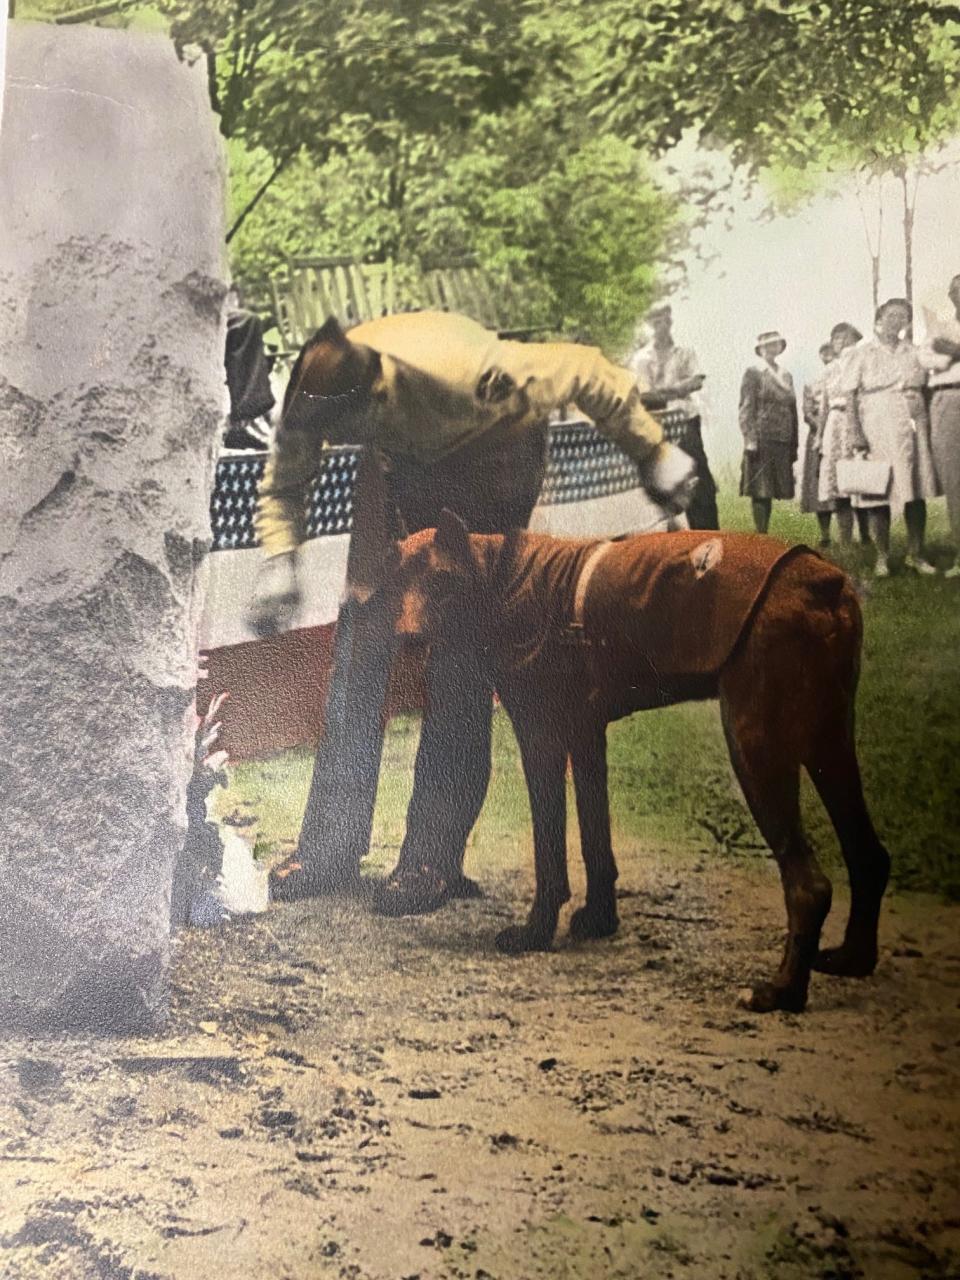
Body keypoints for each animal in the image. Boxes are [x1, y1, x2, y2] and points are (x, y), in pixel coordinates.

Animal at [399, 504, 896, 1013]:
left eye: (441, 581)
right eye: (395, 583)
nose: (408, 641)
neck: (504, 574)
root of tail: (822, 579)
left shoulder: (542, 738)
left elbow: (550, 852)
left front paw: (535, 931)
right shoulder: (586, 735)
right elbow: (595, 840)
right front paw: (599, 920)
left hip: (757, 745)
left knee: (809, 885)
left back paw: (784, 991)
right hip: (828, 741)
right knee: (869, 854)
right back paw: (853, 958)